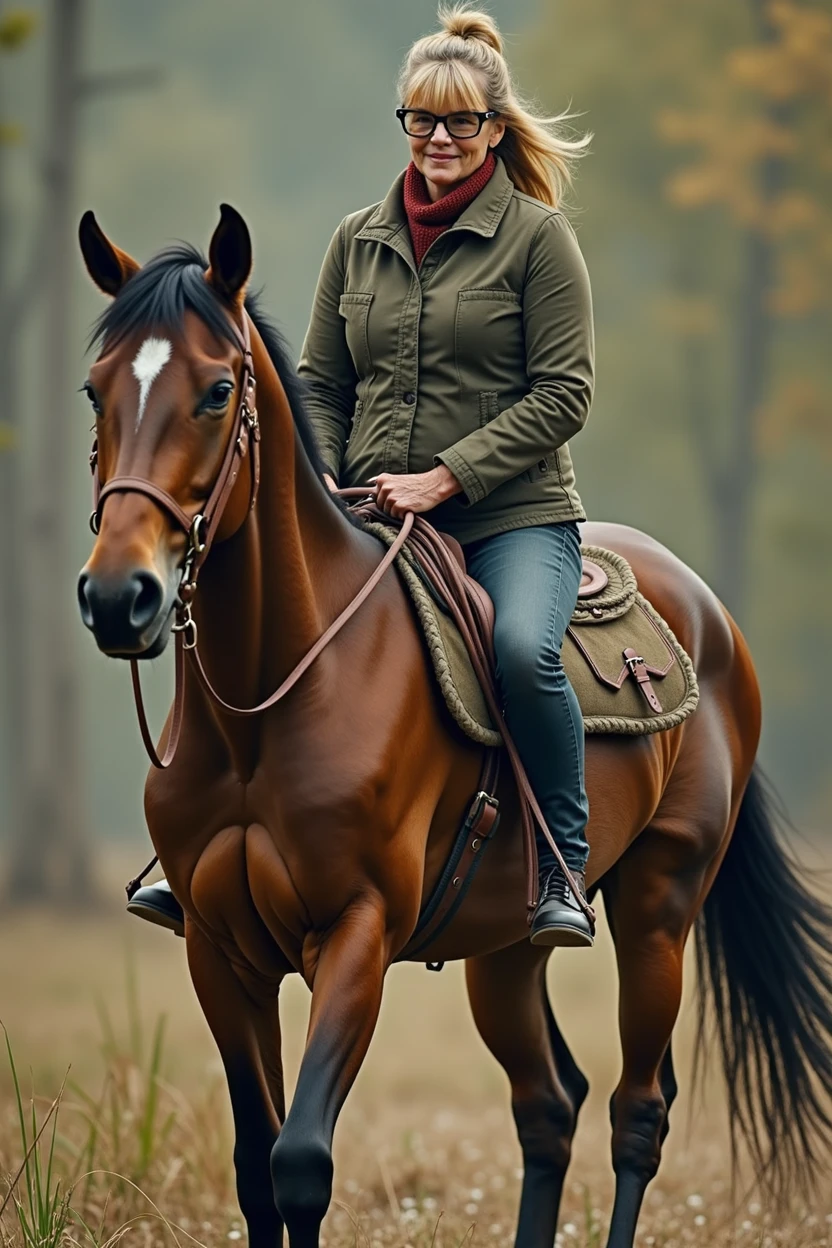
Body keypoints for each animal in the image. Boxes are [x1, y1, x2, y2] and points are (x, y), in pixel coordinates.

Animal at [73, 207, 832, 1248]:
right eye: (95, 389)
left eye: (217, 391)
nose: (121, 597)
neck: (268, 706)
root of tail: (712, 617)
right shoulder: (219, 951)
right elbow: (256, 1170)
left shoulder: (356, 931)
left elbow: (301, 1162)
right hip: (505, 949)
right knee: (550, 1104)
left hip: (660, 907)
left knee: (637, 1111)